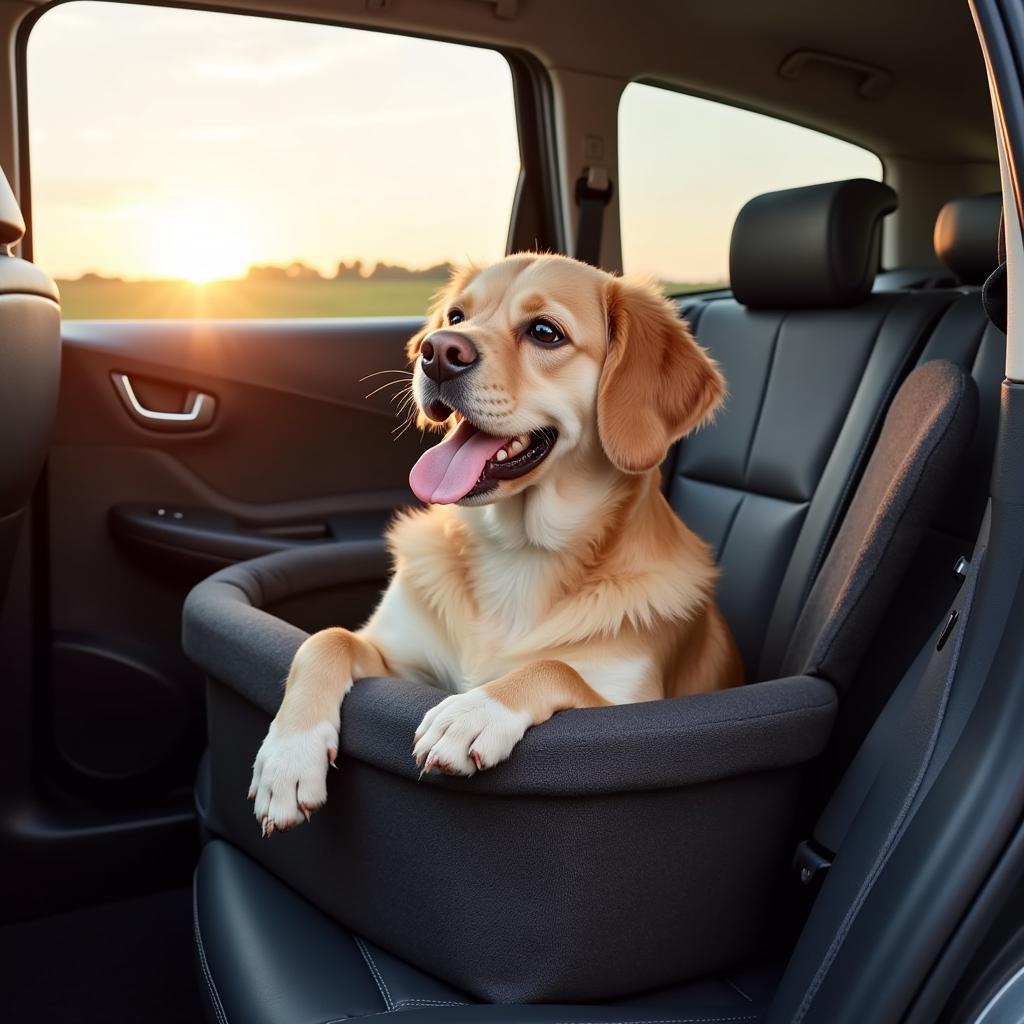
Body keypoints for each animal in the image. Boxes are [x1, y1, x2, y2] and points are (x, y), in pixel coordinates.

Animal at [247, 253, 745, 831]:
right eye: (457, 317)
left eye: (546, 332)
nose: (438, 351)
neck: (519, 552)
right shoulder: (399, 658)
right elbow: (325, 640)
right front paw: (288, 756)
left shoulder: (634, 704)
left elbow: (554, 666)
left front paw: (474, 710)